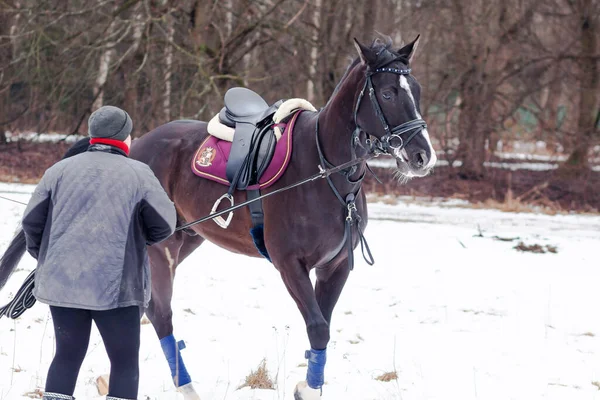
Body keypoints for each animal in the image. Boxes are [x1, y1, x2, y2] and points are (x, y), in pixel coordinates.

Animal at [2, 36, 438, 398]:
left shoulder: (337, 266)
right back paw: (185, 387)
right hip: (160, 248)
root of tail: (133, 146)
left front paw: (308, 384)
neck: (323, 171)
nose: (422, 156)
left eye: (416, 91)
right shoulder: (289, 264)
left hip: (185, 240)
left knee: (145, 309)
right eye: (387, 92)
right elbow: (317, 326)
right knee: (159, 313)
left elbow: (324, 329)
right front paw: (306, 388)